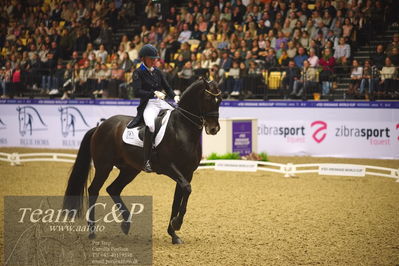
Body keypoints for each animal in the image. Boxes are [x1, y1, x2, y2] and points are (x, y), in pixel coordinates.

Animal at [64, 78, 223, 244]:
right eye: (208, 98)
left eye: (220, 100)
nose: (214, 129)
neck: (182, 129)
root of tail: (100, 127)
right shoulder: (169, 167)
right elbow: (186, 189)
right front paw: (177, 224)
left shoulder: (187, 173)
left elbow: (178, 199)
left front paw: (174, 234)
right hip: (104, 167)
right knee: (94, 190)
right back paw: (92, 231)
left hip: (129, 170)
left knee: (113, 189)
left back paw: (126, 224)